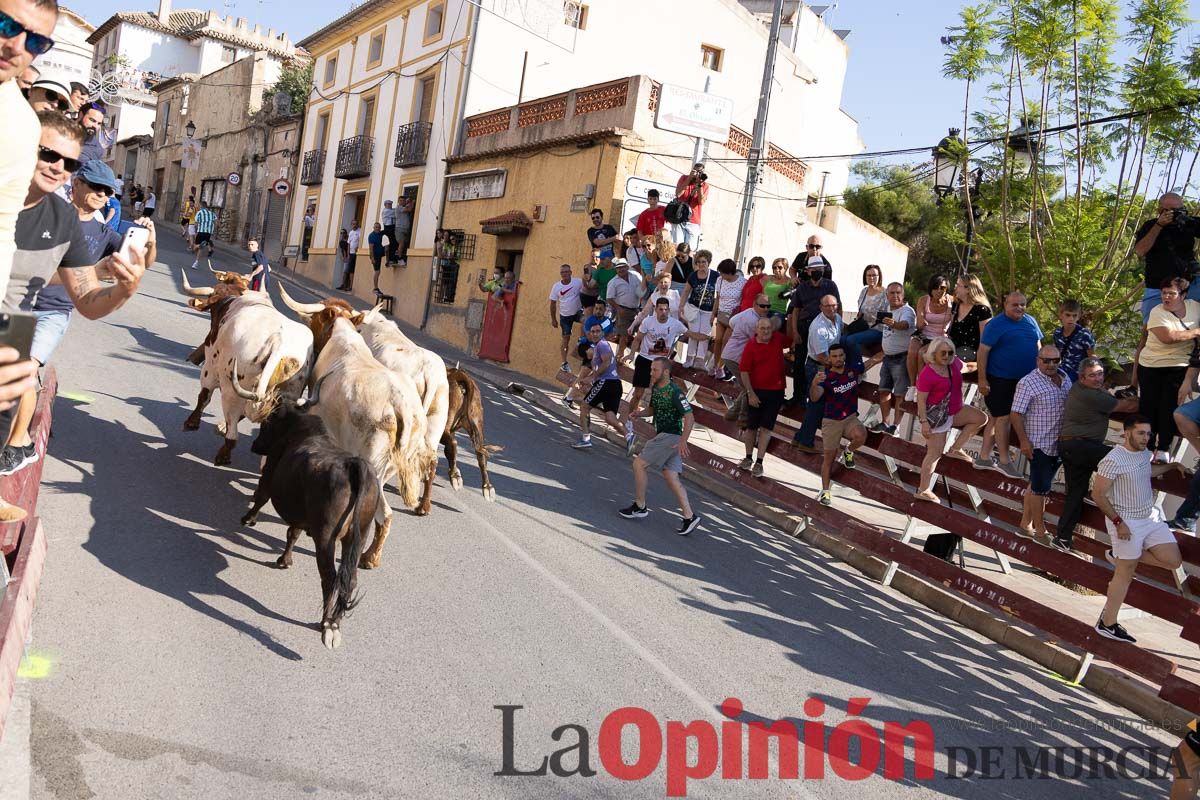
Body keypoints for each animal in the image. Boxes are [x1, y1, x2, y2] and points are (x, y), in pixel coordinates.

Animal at [181, 287, 314, 465]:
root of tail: (278, 340)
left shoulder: (210, 367)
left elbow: (204, 396)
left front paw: (192, 422)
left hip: (230, 390)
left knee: (232, 431)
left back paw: (223, 455)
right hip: (289, 390)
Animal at [279, 287, 436, 568]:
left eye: (315, 322)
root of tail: (400, 404)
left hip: (373, 463)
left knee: (384, 513)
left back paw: (367, 557)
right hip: (389, 468)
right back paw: (371, 556)